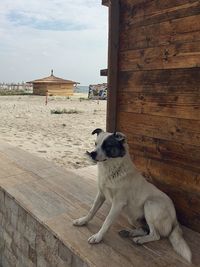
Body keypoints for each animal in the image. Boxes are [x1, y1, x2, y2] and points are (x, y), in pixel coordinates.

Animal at [72, 129, 191, 264]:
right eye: (95, 144)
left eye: (107, 146)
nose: (92, 154)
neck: (113, 170)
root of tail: (175, 218)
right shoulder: (101, 194)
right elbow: (91, 211)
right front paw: (82, 221)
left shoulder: (117, 204)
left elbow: (106, 222)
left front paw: (97, 237)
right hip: (132, 217)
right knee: (145, 229)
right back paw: (129, 233)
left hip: (150, 205)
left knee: (155, 235)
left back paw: (140, 240)